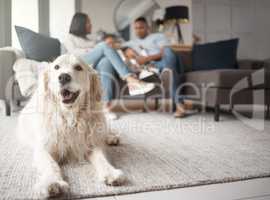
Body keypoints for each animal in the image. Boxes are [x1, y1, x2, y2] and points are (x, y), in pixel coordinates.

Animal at [16, 54, 125, 198]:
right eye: (56, 67)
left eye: (78, 67)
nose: (63, 77)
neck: (69, 117)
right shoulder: (43, 148)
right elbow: (50, 164)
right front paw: (52, 182)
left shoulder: (91, 144)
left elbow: (101, 158)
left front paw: (110, 172)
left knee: (104, 132)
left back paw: (111, 138)